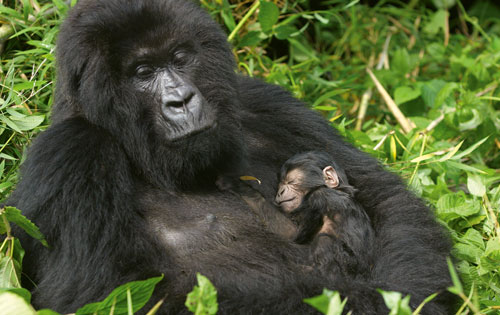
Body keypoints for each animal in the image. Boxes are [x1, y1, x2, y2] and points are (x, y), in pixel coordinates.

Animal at [219, 152, 376, 278]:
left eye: (290, 181)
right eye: (280, 183)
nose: (280, 191)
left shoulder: (318, 197)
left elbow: (292, 232)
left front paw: (236, 185)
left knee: (325, 240)